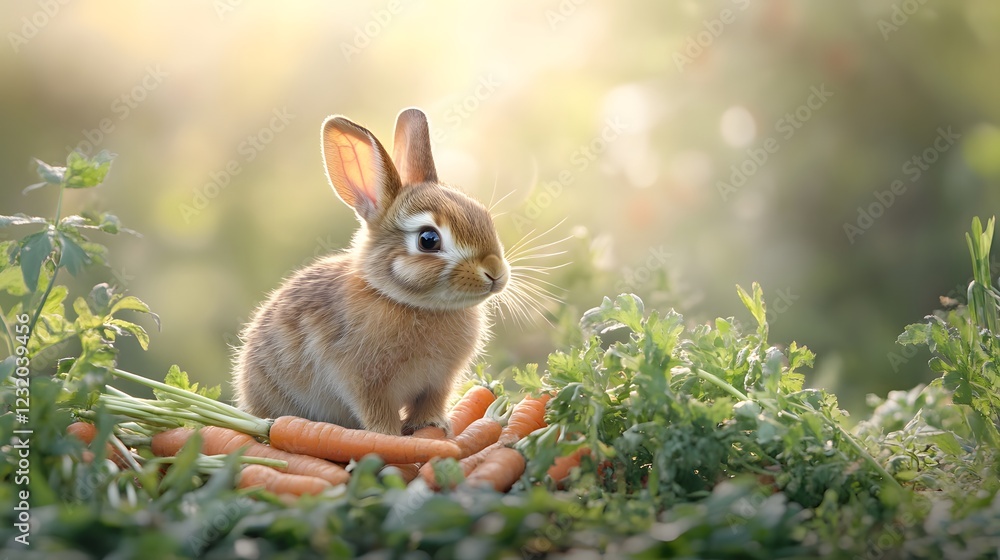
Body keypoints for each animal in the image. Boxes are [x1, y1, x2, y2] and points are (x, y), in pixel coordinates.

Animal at [232, 108, 509, 436]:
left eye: (484, 216)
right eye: (428, 239)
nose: (495, 272)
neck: (413, 305)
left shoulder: (438, 381)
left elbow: (430, 403)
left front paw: (432, 426)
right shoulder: (364, 381)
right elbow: (377, 410)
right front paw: (389, 435)